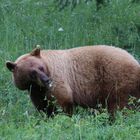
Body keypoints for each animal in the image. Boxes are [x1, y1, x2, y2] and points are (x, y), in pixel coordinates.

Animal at [5, 45, 140, 116]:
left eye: (41, 67)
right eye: (32, 73)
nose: (46, 80)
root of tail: (135, 61)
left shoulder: (58, 77)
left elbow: (63, 100)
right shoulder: (35, 90)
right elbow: (42, 106)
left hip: (116, 80)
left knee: (120, 105)